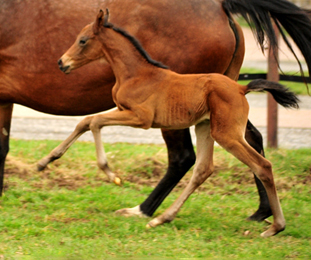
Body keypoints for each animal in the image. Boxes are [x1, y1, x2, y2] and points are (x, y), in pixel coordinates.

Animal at [47, 9, 300, 238]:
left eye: (82, 40)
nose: (61, 62)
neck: (135, 74)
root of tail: (241, 88)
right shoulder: (122, 110)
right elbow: (85, 122)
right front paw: (46, 161)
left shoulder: (141, 118)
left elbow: (95, 122)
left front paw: (110, 173)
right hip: (205, 127)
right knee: (203, 169)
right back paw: (161, 219)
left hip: (226, 134)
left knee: (262, 165)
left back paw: (275, 227)